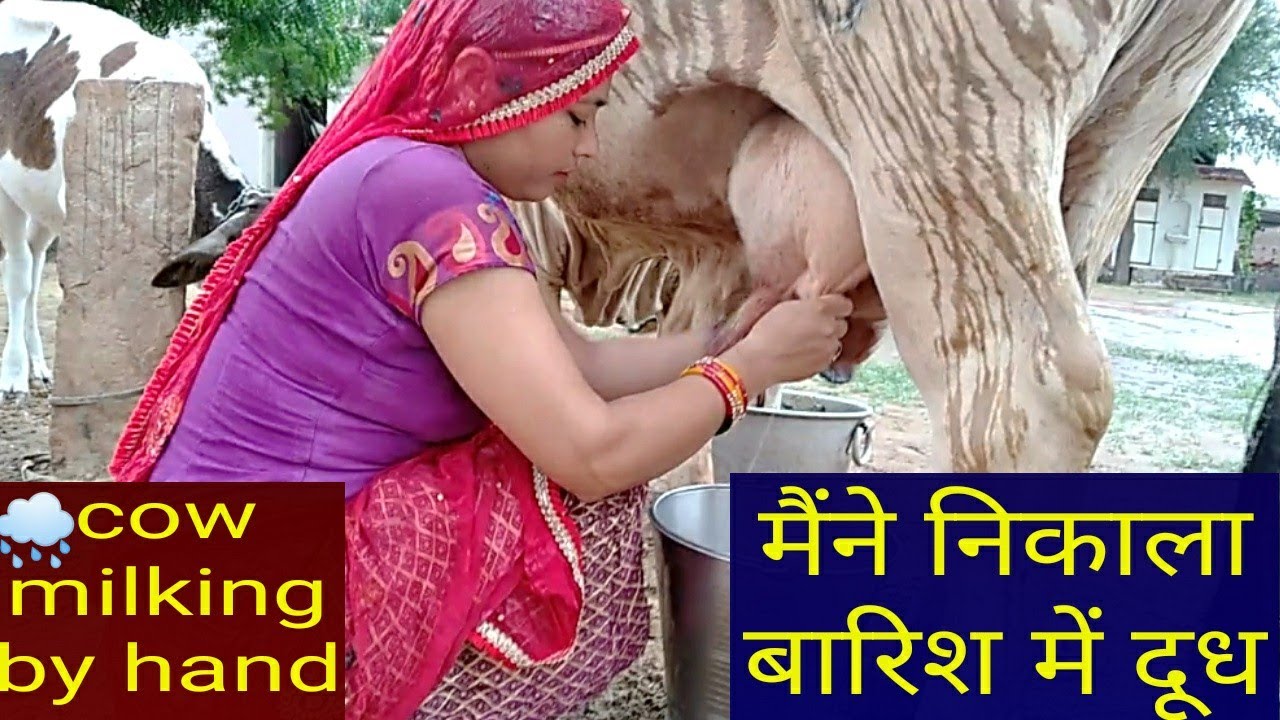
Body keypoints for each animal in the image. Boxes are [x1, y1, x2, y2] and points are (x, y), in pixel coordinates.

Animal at [0, 0, 265, 399]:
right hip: (7, 190)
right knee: (18, 273)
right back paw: (14, 375)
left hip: (40, 195)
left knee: (33, 261)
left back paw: (40, 368)